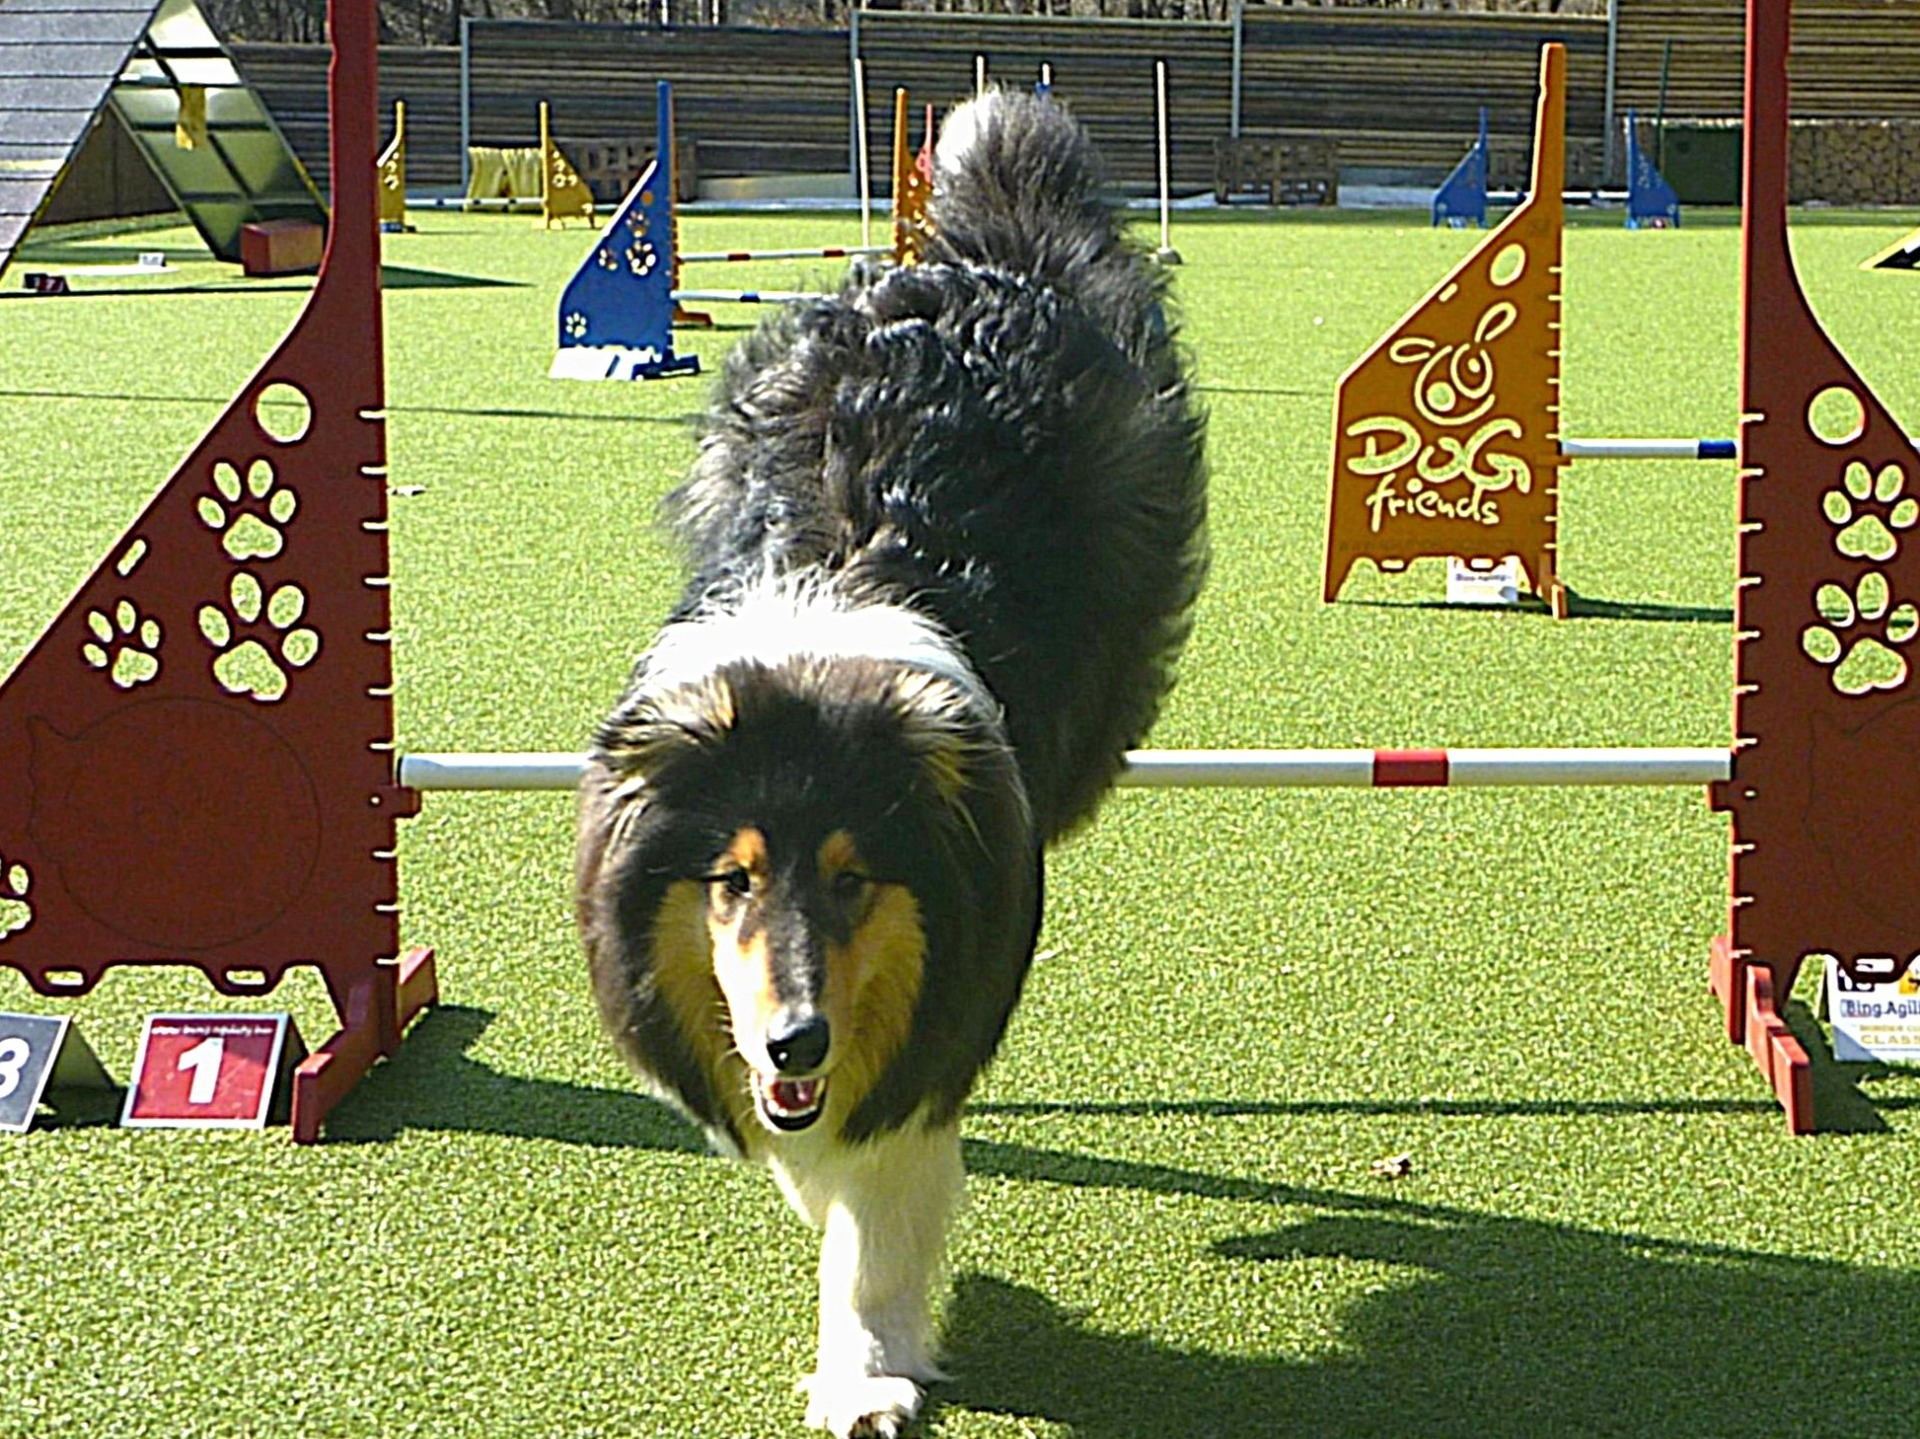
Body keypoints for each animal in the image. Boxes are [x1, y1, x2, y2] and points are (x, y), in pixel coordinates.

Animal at [574, 88, 1207, 1437]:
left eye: (857, 878)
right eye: (731, 880)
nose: (794, 1045)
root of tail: (984, 262)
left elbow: (874, 1203)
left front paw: (866, 1366)